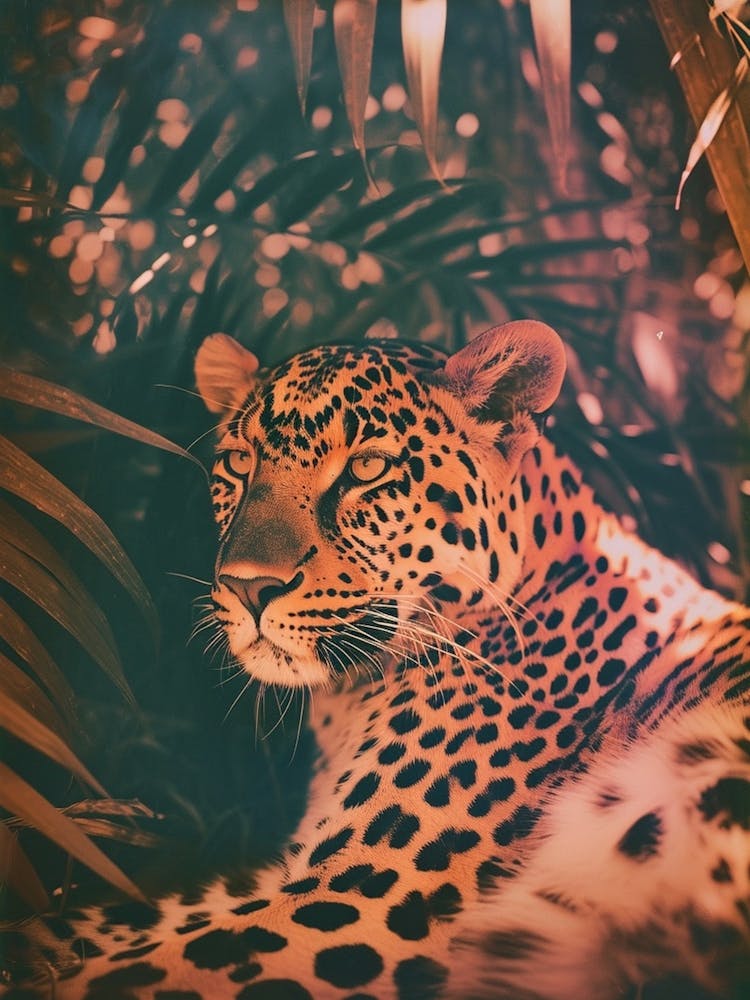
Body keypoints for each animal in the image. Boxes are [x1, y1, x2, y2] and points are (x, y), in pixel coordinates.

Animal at [3, 320, 749, 1000]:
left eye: (366, 469)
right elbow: (112, 924)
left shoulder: (365, 897)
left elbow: (129, 972)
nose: (247, 586)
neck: (350, 698)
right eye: (240, 464)